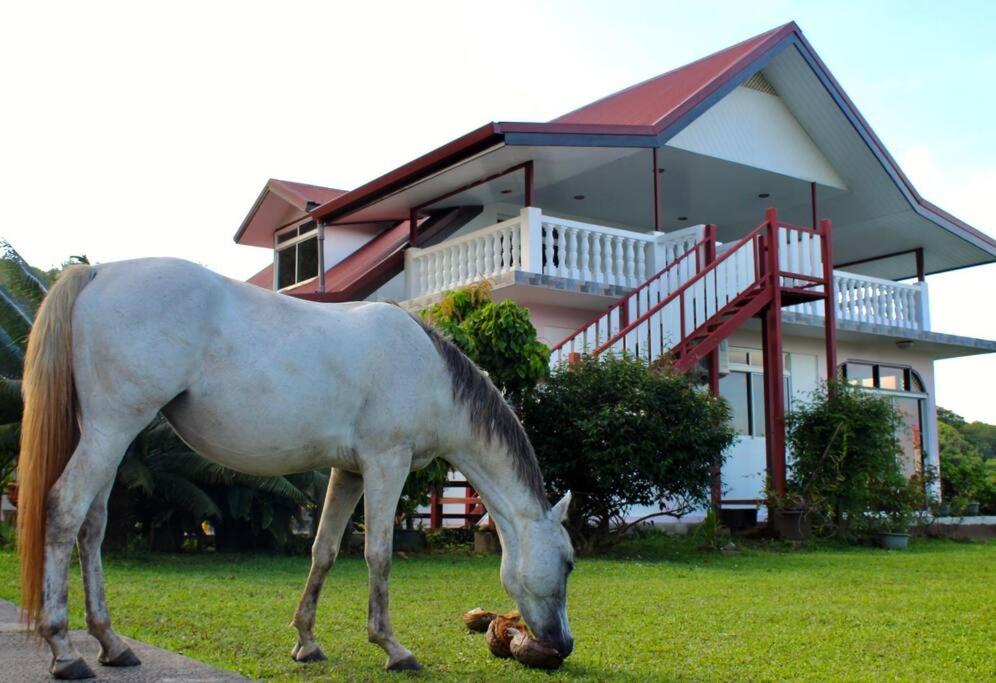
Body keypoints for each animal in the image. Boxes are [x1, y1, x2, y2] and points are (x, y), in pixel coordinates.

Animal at [15, 258, 572, 680]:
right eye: (568, 563)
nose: (563, 644)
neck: (430, 371)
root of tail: (98, 272)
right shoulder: (385, 465)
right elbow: (379, 555)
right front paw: (393, 648)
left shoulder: (349, 473)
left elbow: (323, 551)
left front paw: (306, 640)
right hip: (111, 429)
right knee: (64, 511)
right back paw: (65, 652)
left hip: (106, 435)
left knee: (92, 526)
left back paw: (111, 643)